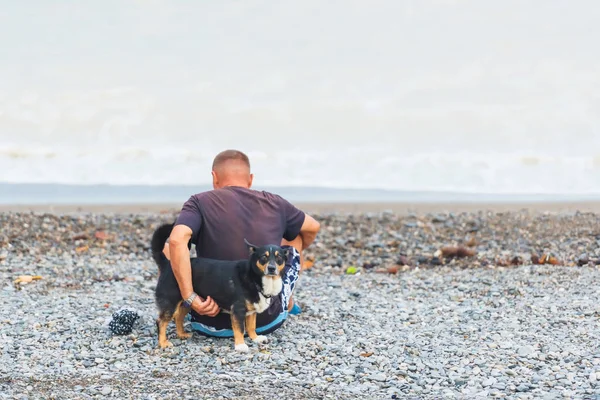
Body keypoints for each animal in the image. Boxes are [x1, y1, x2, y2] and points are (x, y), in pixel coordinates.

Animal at [151, 223, 290, 352]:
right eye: (263, 257)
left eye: (279, 257)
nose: (271, 268)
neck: (254, 277)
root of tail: (167, 264)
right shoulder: (238, 310)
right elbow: (240, 329)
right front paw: (240, 345)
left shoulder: (251, 312)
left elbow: (251, 326)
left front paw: (255, 338)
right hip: (171, 303)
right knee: (161, 321)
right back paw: (163, 343)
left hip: (188, 301)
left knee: (178, 317)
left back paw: (181, 334)